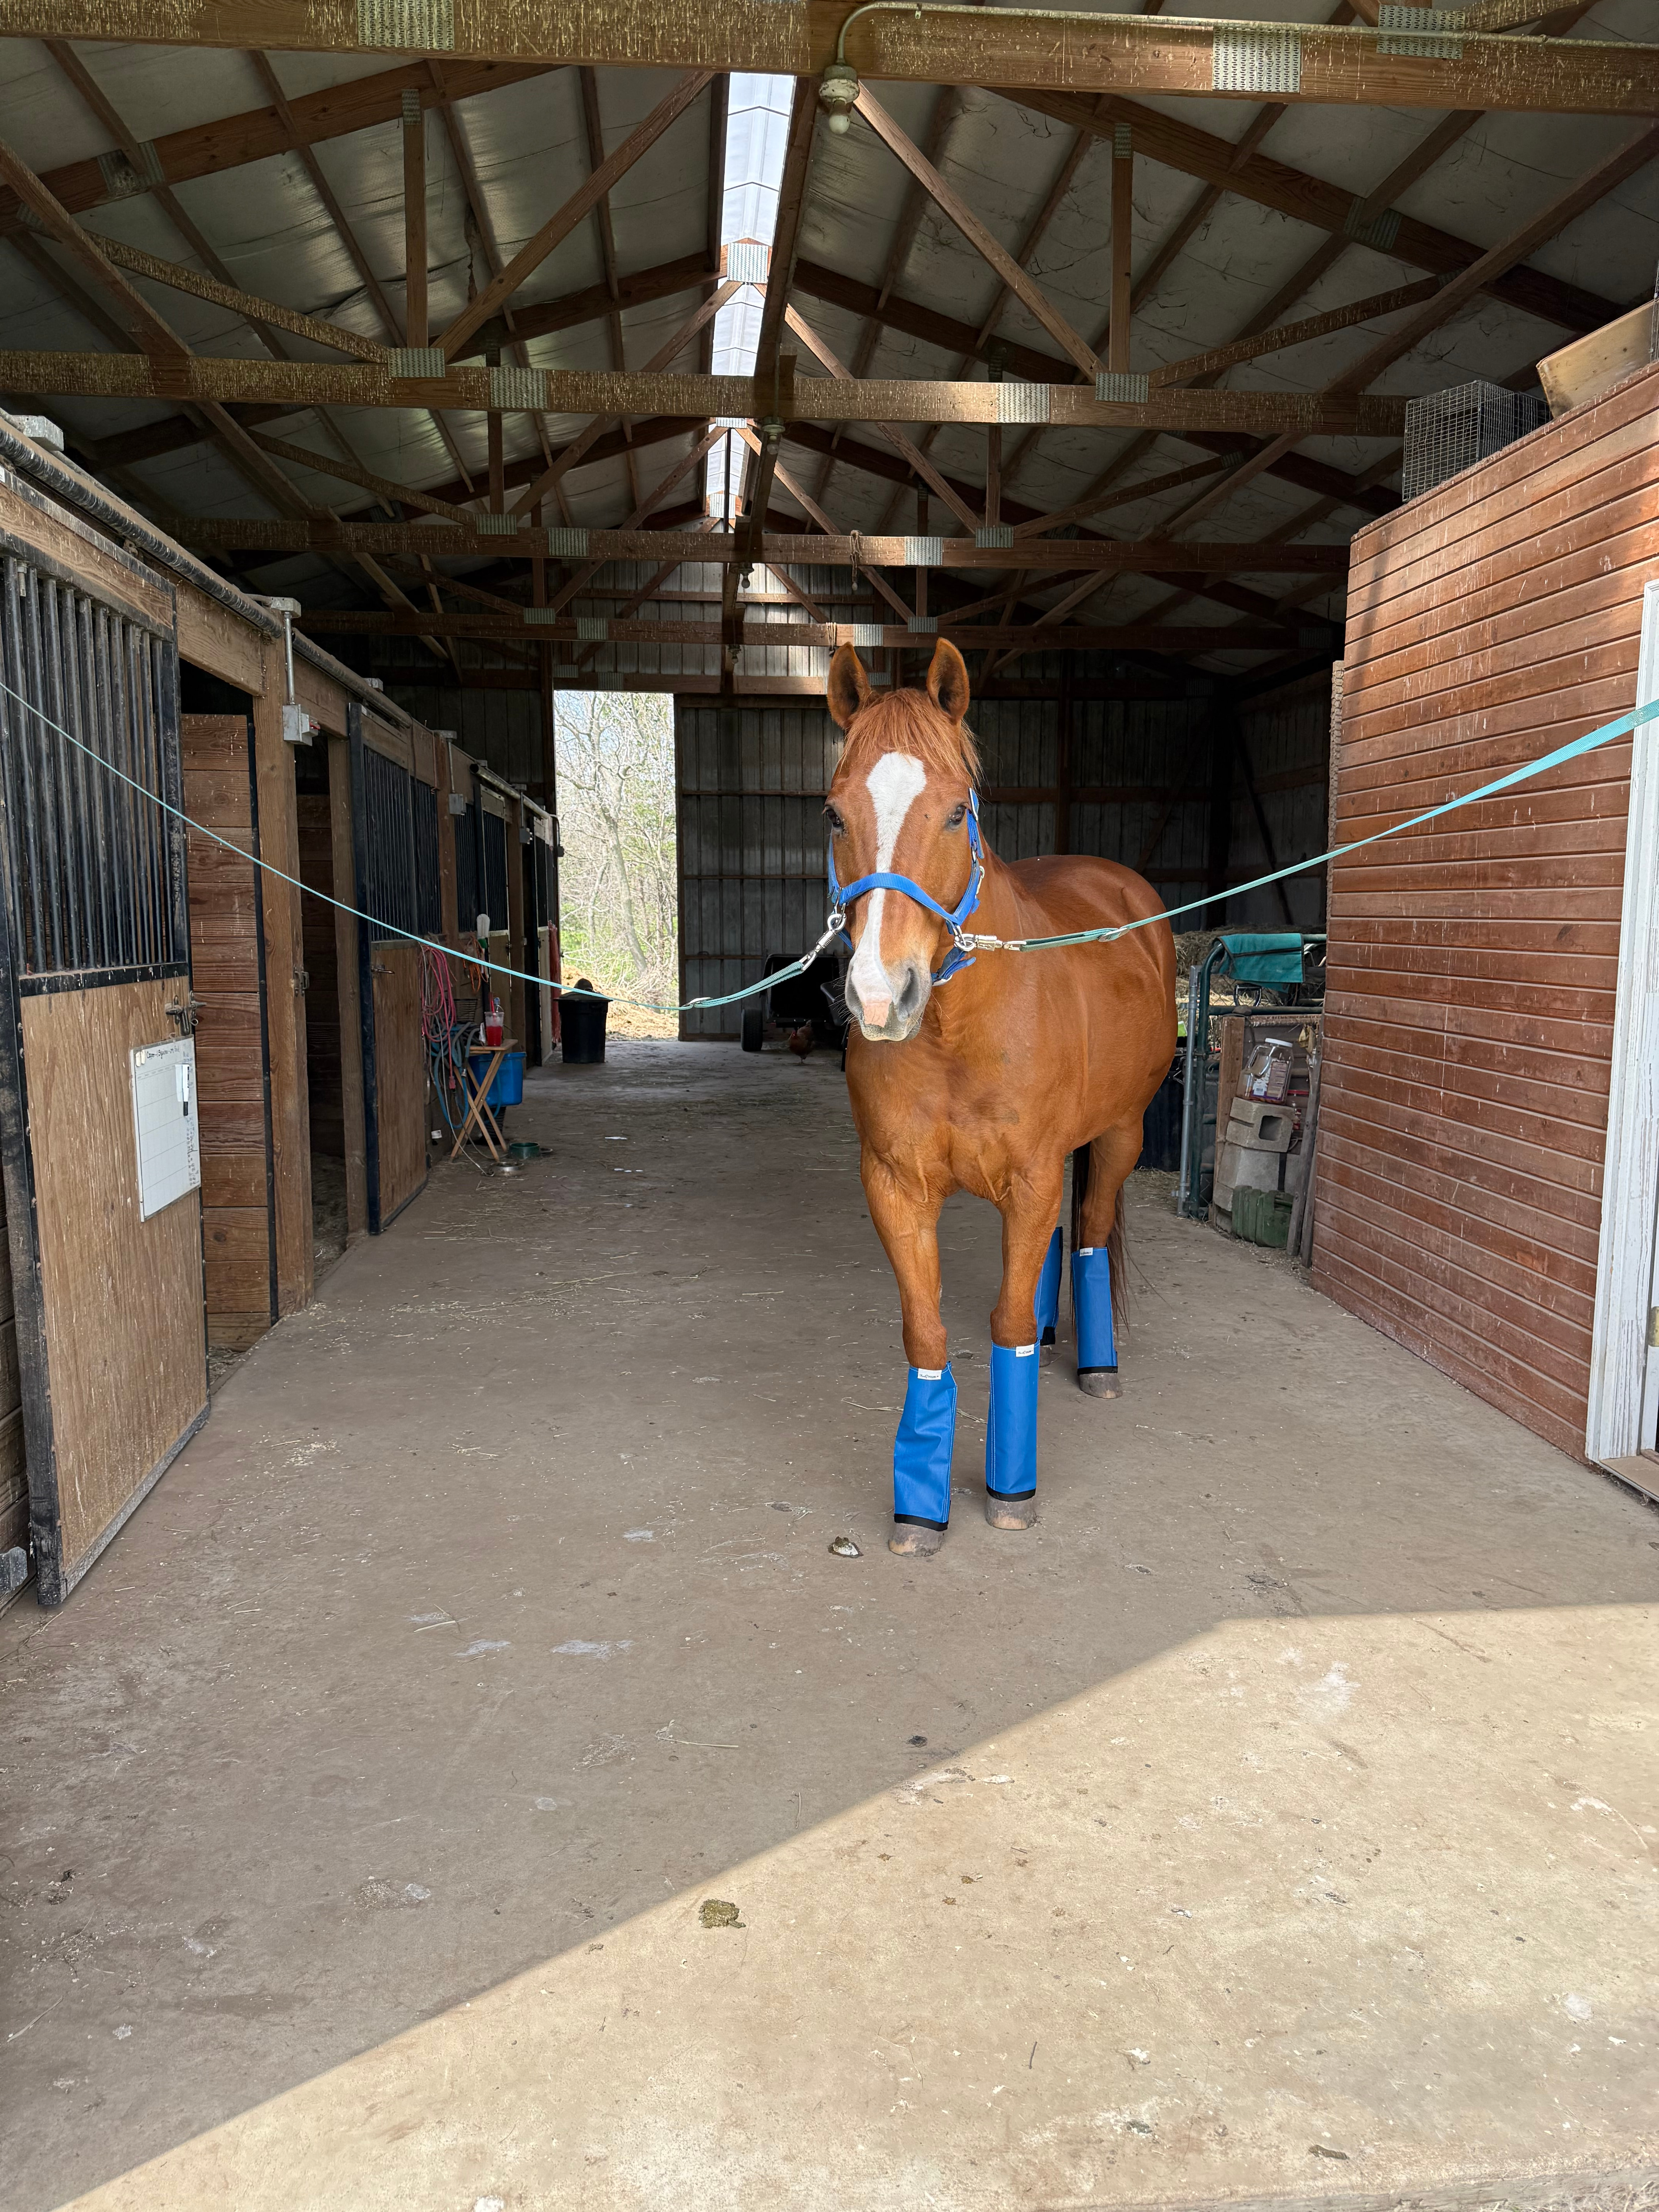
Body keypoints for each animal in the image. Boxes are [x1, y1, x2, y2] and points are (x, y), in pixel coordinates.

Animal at [825, 638, 1177, 1557]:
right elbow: (928, 1333)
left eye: (956, 814)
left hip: (1119, 1136)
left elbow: (1010, 1325)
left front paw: (1010, 1490)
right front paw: (919, 1506)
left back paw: (1094, 1366)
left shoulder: (1031, 1178)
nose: (880, 996)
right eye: (835, 815)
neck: (958, 1037)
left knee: (1084, 1235)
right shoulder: (895, 1188)